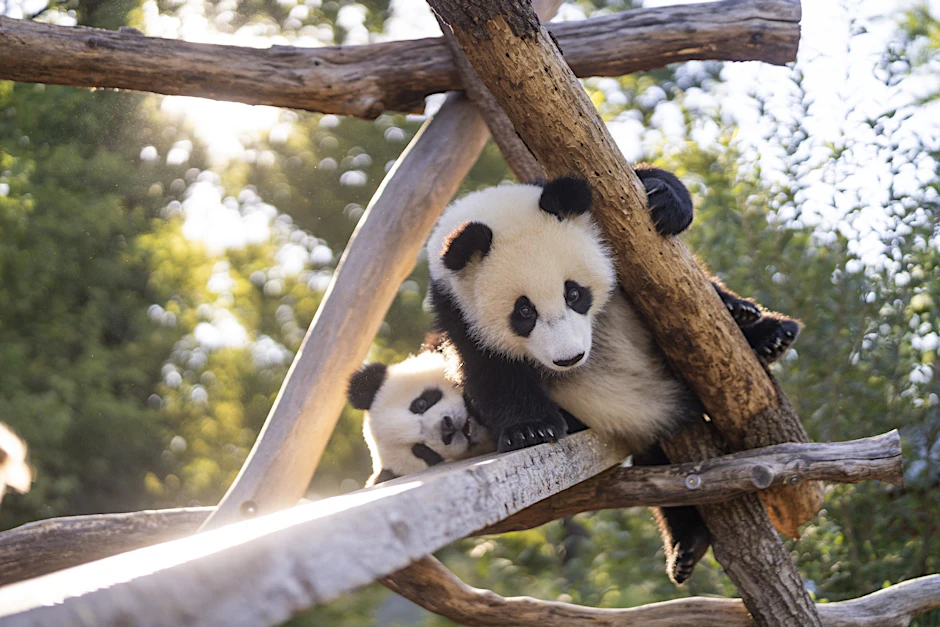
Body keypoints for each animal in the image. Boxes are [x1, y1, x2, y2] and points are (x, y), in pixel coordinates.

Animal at [425, 166, 800, 584]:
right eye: (524, 312)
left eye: (574, 293)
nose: (569, 358)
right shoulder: (458, 315)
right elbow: (489, 373)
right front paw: (531, 430)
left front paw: (664, 197)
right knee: (666, 478)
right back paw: (688, 542)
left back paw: (767, 332)